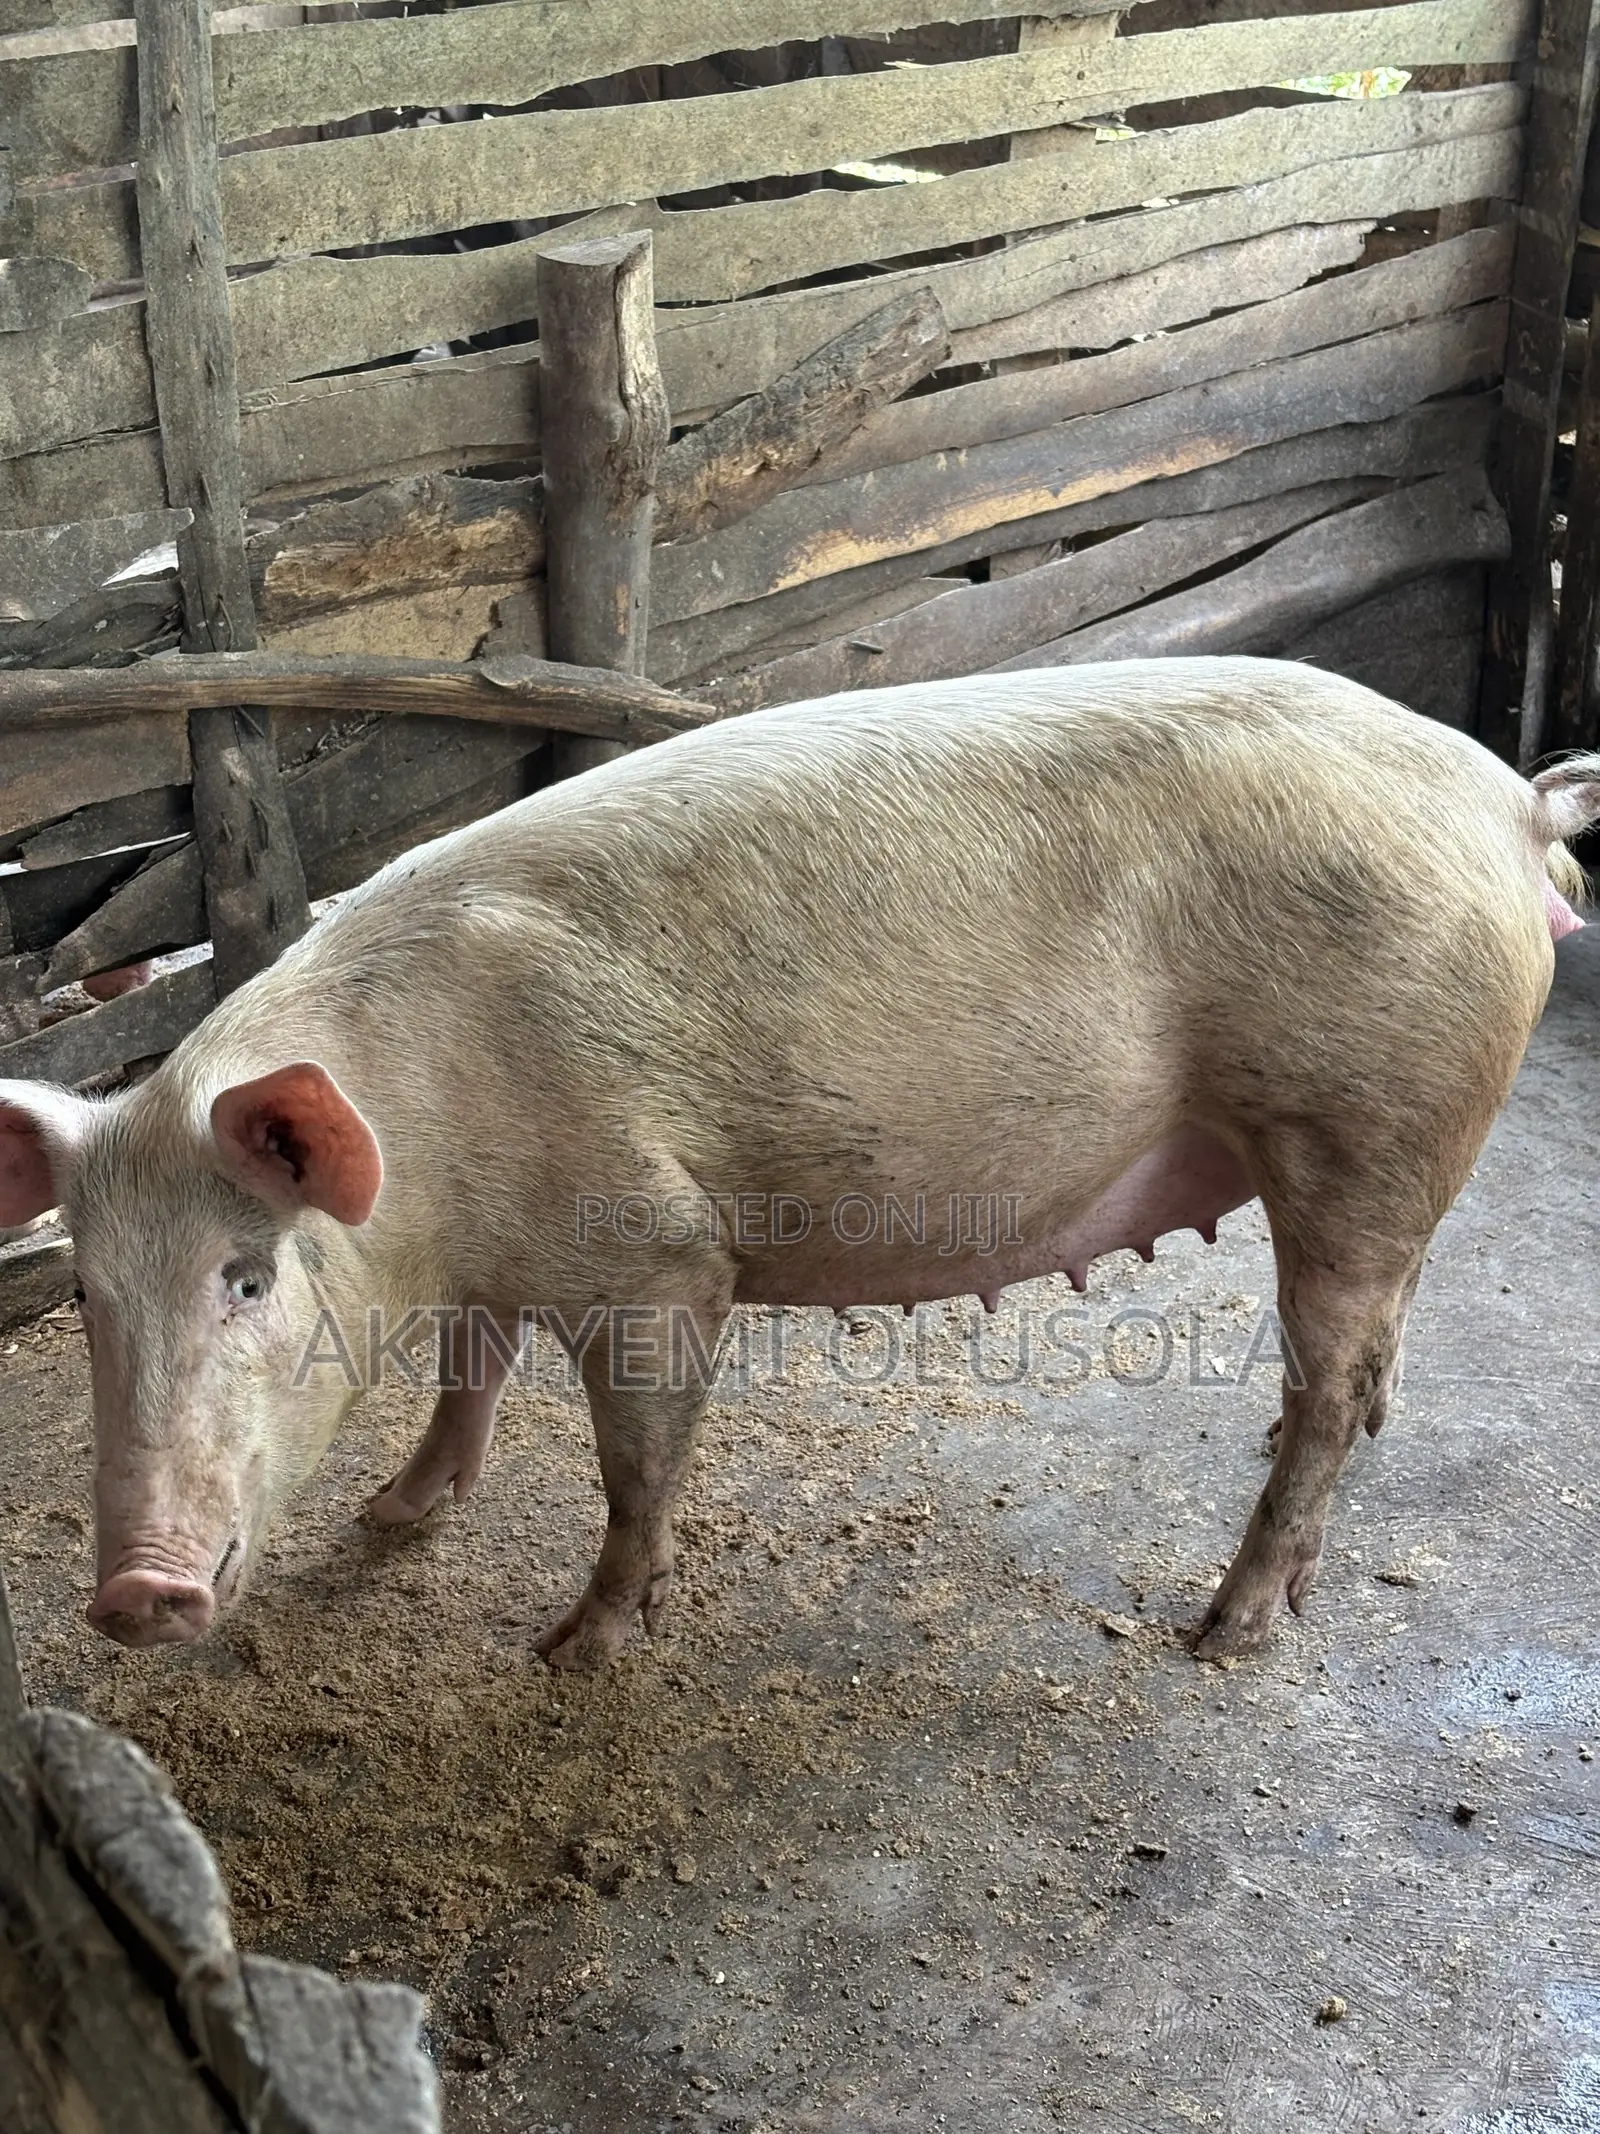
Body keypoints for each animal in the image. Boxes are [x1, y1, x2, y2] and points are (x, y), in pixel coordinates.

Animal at [0, 658, 1595, 1668]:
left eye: (247, 1276)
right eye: (85, 1294)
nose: (131, 1595)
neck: (430, 1163)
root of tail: (1509, 799)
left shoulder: (657, 1252)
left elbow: (635, 1459)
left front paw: (573, 1649)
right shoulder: (486, 1267)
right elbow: (470, 1369)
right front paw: (394, 1514)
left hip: (1369, 1119)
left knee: (1335, 1373)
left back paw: (1222, 1630)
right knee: (1367, 1365)